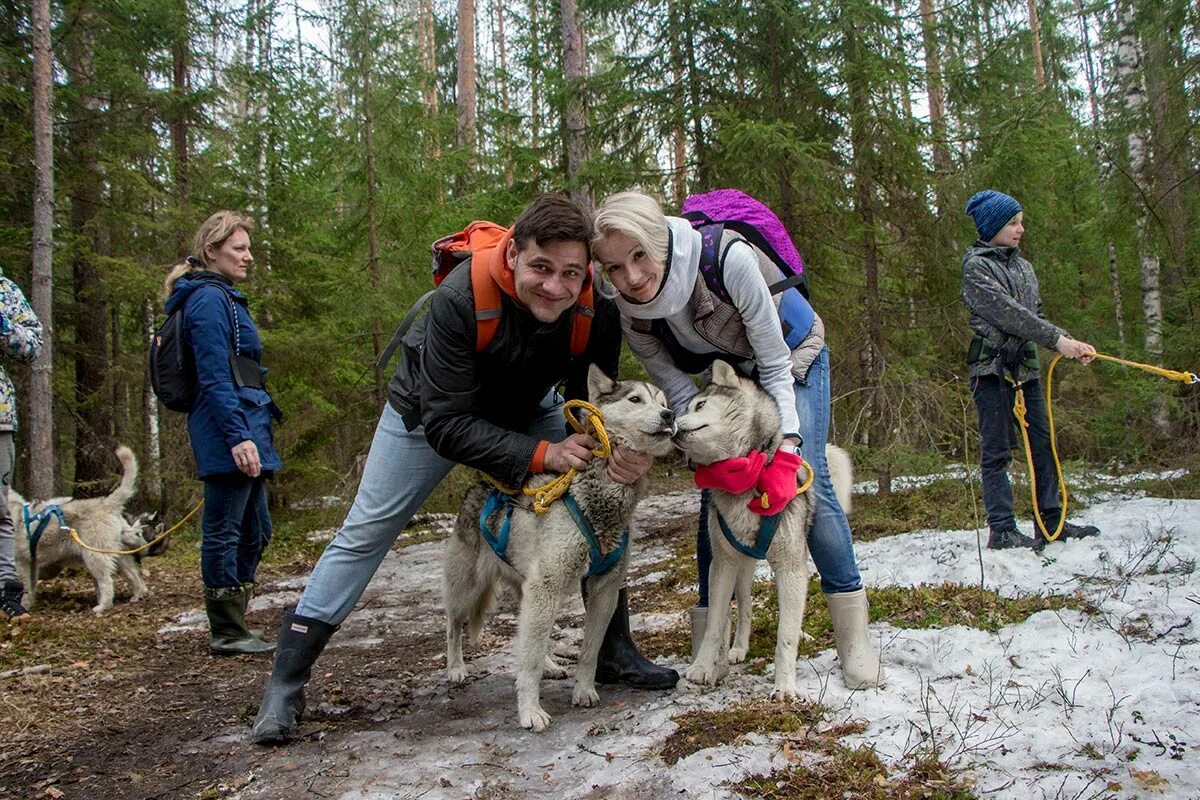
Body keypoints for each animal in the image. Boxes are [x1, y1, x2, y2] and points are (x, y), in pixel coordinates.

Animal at [12, 443, 157, 614]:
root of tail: (107, 503)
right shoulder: (31, 563)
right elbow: (30, 587)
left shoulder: (20, 563)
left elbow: (23, 587)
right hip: (117, 553)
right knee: (134, 574)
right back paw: (137, 595)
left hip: (94, 556)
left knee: (107, 581)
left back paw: (103, 606)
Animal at [446, 367, 681, 734]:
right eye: (635, 399)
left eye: (663, 401)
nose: (670, 415)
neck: (600, 500)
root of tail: (478, 489)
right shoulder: (547, 586)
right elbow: (527, 663)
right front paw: (530, 711)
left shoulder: (604, 590)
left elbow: (589, 650)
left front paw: (583, 690)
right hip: (471, 589)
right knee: (454, 625)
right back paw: (456, 668)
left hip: (530, 592)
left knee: (531, 635)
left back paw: (550, 665)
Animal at [676, 362, 854, 700]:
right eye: (682, 409)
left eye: (700, 406)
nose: (672, 426)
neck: (746, 474)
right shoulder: (723, 565)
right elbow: (715, 623)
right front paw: (703, 667)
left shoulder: (790, 568)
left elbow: (785, 635)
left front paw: (784, 687)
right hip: (742, 570)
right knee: (744, 607)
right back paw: (736, 649)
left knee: (792, 610)